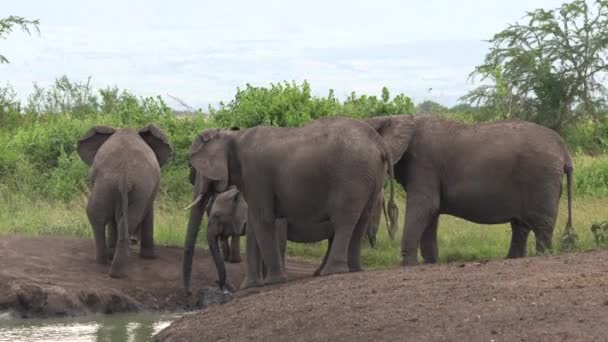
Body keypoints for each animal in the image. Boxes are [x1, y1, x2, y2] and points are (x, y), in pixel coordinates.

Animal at [77, 125, 171, 278]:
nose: (135, 241)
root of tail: (124, 176)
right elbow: (147, 213)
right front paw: (149, 257)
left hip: (108, 184)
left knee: (98, 215)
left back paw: (108, 264)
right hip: (131, 187)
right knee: (123, 218)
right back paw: (114, 268)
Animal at [180, 116, 400, 290]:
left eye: (196, 168)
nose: (218, 285)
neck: (232, 135)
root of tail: (380, 143)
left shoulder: (256, 174)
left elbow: (263, 220)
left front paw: (273, 282)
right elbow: (254, 225)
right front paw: (249, 286)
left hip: (351, 176)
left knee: (344, 220)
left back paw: (332, 272)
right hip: (371, 176)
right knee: (360, 220)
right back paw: (352, 270)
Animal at [364, 113, 572, 266]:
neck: (395, 118)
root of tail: (564, 149)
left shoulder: (424, 163)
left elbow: (425, 206)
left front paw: (410, 265)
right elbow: (431, 212)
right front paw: (430, 263)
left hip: (541, 178)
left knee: (541, 225)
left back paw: (541, 256)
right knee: (520, 225)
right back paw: (512, 259)